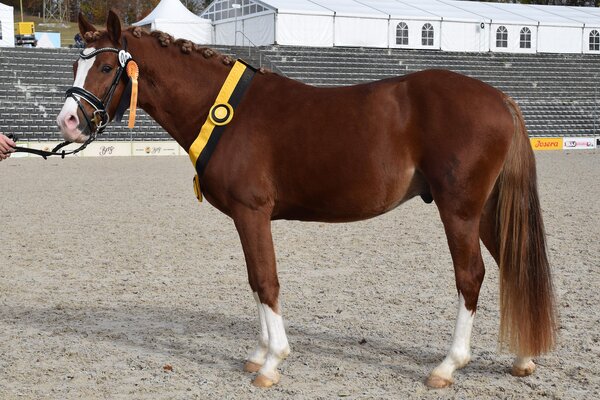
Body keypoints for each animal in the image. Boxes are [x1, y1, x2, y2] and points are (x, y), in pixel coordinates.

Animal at [56, 10, 557, 389]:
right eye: (74, 67)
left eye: (105, 68)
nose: (68, 122)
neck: (227, 112)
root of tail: (500, 97)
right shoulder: (246, 218)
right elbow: (255, 281)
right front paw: (258, 353)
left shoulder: (252, 212)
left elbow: (266, 280)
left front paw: (273, 361)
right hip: (486, 211)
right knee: (513, 265)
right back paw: (522, 358)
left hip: (459, 211)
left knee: (471, 276)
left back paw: (448, 366)